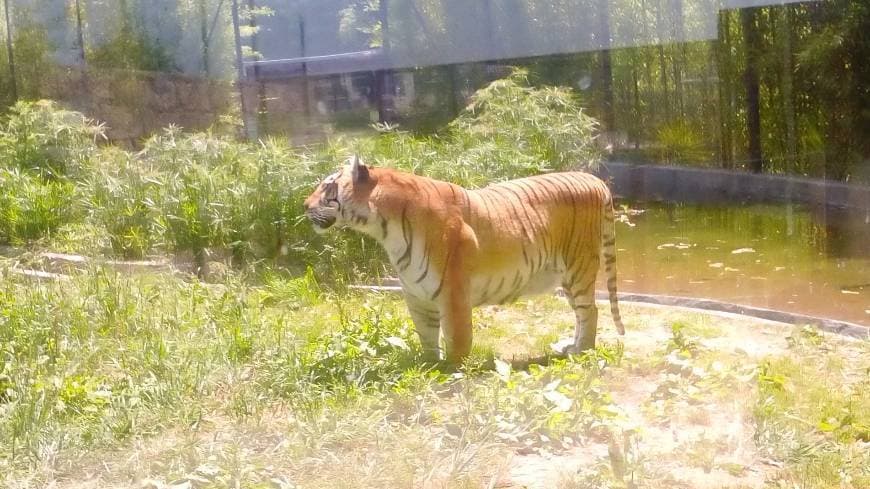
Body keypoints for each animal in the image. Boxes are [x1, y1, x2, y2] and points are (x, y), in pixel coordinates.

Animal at [306, 154, 628, 364]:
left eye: (327, 186)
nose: (304, 205)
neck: (384, 228)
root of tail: (593, 179)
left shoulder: (453, 291)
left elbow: (457, 337)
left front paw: (453, 370)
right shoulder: (416, 295)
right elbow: (426, 334)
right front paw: (428, 365)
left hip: (579, 267)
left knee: (590, 310)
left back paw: (581, 350)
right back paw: (571, 345)